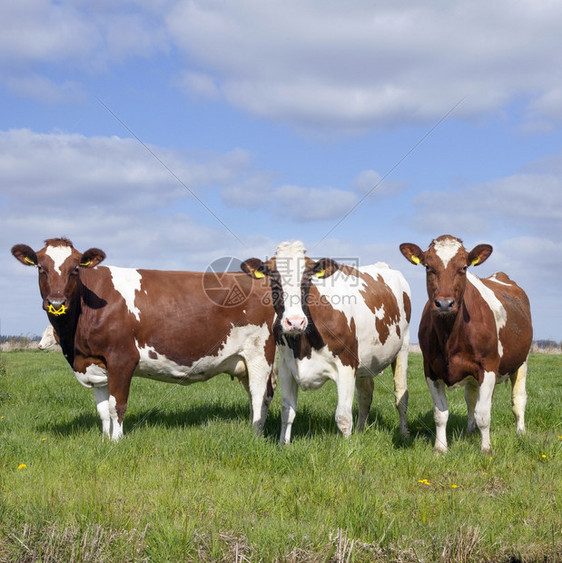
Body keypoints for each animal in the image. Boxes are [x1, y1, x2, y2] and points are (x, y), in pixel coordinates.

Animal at [11, 238, 276, 440]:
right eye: (40, 268)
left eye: (75, 268)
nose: (56, 303)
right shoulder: (94, 362)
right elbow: (102, 410)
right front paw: (104, 440)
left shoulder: (121, 359)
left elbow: (117, 405)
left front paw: (116, 442)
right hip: (242, 361)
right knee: (260, 396)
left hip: (260, 355)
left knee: (259, 395)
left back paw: (255, 435)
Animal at [238, 241, 410, 446]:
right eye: (274, 280)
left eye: (307, 280)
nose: (295, 322)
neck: (303, 345)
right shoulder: (287, 368)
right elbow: (287, 412)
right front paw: (283, 445)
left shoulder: (346, 367)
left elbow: (343, 417)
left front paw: (347, 448)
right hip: (366, 362)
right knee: (365, 395)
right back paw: (360, 431)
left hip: (403, 348)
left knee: (401, 395)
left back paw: (404, 433)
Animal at [396, 234, 532, 454]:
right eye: (428, 267)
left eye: (464, 267)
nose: (444, 304)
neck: (450, 337)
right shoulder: (430, 370)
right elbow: (441, 414)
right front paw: (440, 449)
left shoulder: (488, 367)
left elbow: (484, 414)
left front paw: (486, 449)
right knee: (471, 399)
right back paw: (469, 430)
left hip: (522, 361)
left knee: (518, 398)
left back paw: (520, 432)